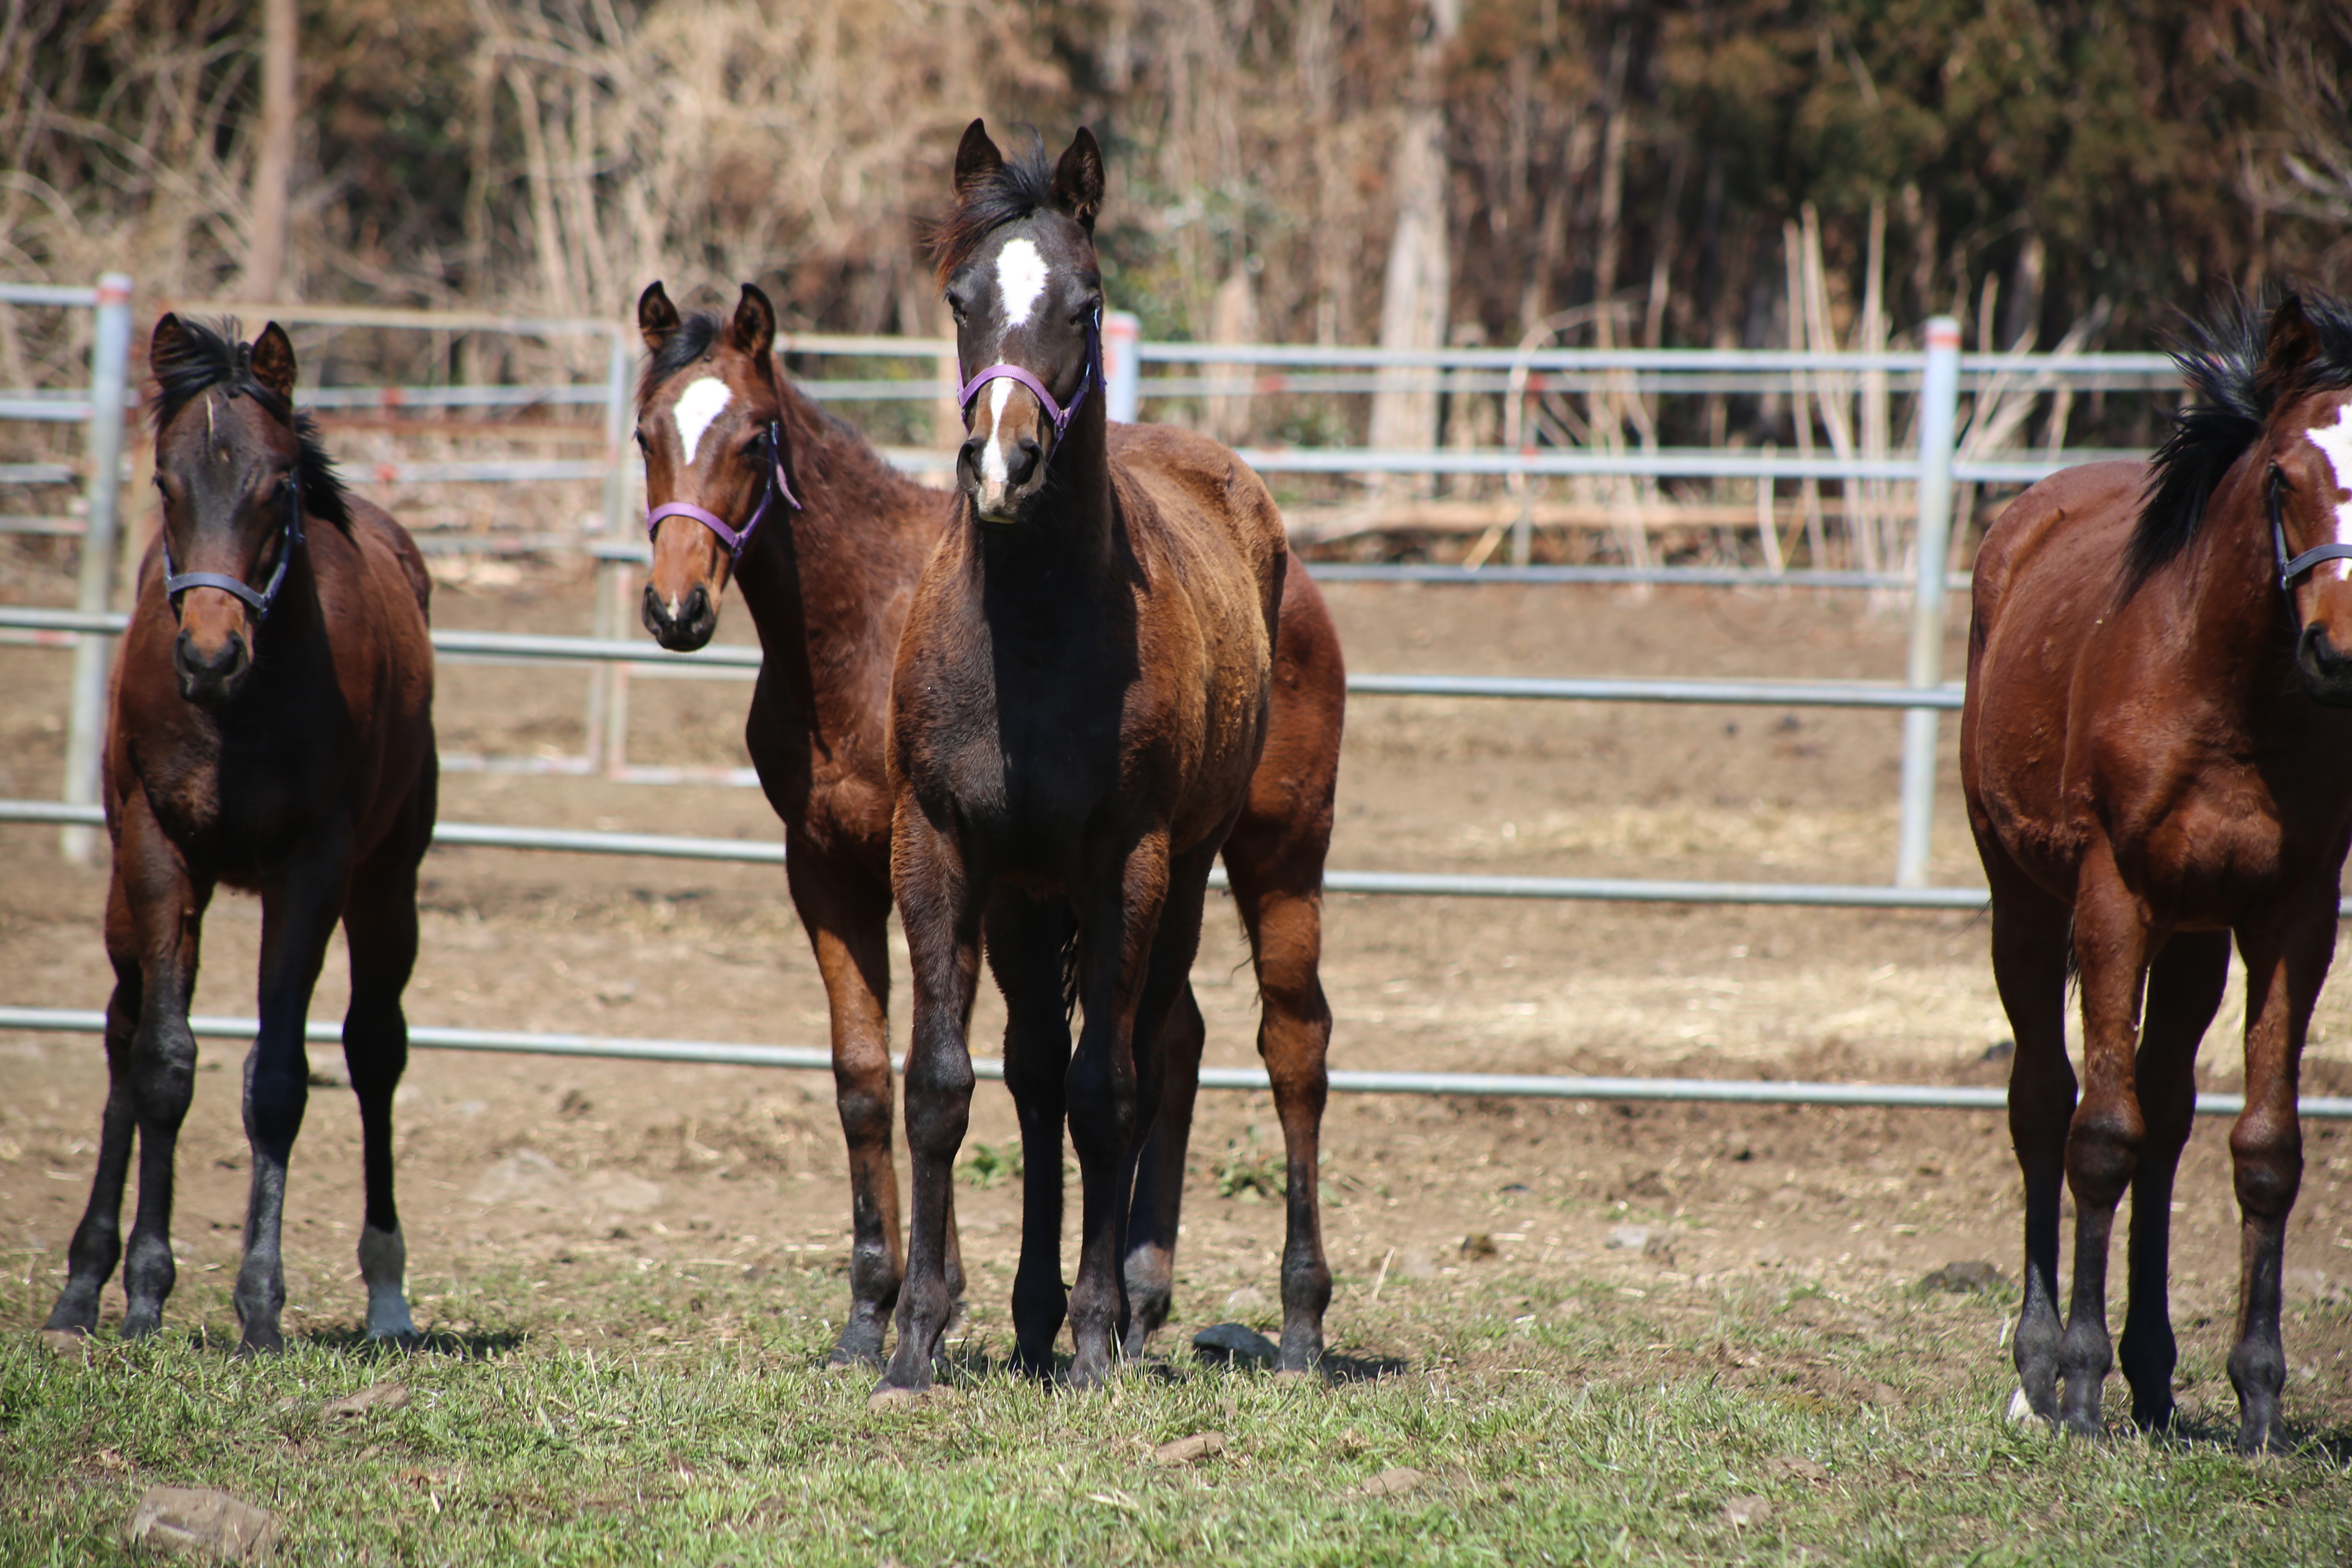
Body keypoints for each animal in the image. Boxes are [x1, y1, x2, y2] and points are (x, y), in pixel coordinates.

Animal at [630, 263, 1345, 1363]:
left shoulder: (942, 864)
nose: (676, 609)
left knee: (1291, 1044)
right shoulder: (828, 869)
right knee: (1172, 1039)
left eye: (754, 436)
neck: (861, 630)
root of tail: (1288, 569)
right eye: (643, 436)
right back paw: (1141, 1299)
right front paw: (874, 1314)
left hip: (1276, 855)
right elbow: (871, 1077)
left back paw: (1295, 1319)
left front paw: (943, 1300)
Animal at [1957, 288, 2352, 1457]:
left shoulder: (2290, 919)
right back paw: (2042, 1372)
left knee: (2170, 1116)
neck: (2227, 697)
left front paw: (2258, 1399)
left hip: (2194, 941)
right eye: (2282, 476)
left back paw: (2154, 1375)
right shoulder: (2111, 900)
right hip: (2024, 906)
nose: (2336, 651)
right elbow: (2098, 1133)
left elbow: (2263, 1148)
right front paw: (2078, 1385)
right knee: (2044, 1102)